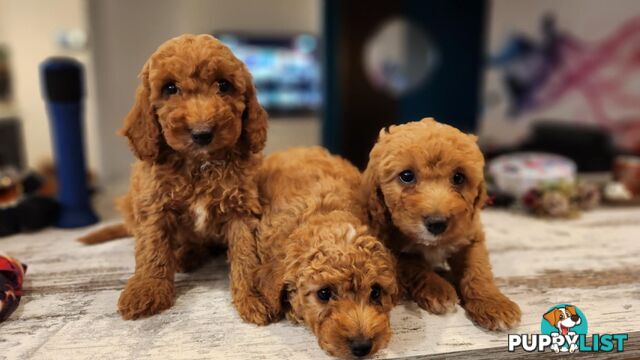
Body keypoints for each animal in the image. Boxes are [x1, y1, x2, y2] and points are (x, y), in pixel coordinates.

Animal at [362, 119, 524, 332]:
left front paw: (494, 304)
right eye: (407, 176)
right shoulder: (390, 248)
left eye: (458, 177)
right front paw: (438, 290)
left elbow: (478, 268)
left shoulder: (471, 234)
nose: (437, 224)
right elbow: (413, 264)